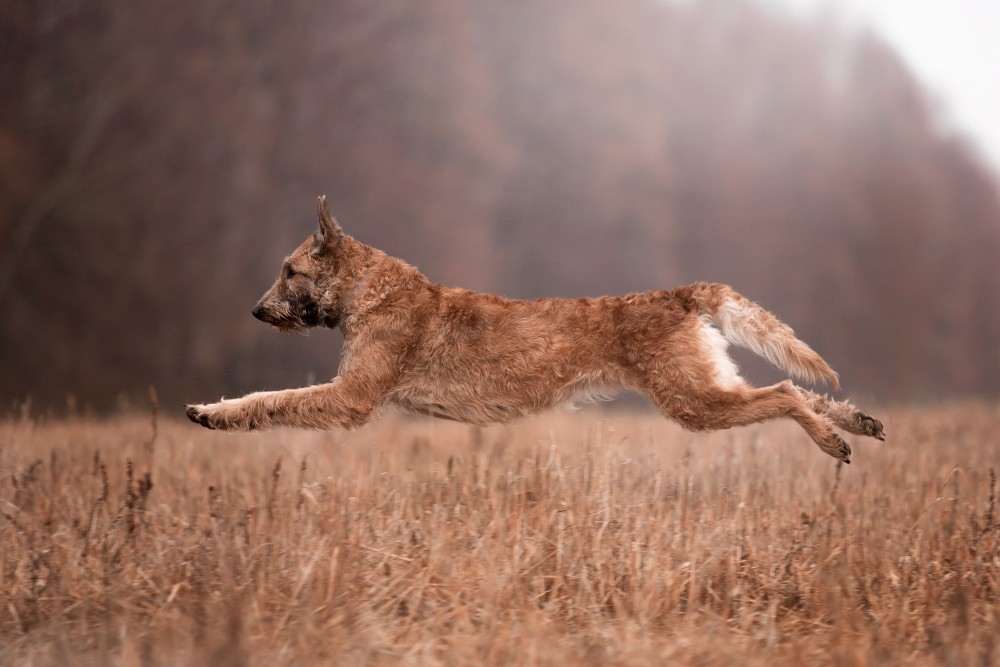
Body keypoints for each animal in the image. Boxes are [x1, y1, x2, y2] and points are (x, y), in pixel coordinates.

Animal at [186, 196, 884, 462]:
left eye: (289, 272)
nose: (254, 311)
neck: (367, 291)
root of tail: (682, 293)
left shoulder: (351, 398)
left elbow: (272, 400)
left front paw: (210, 412)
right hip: (708, 387)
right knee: (804, 392)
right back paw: (858, 422)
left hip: (694, 400)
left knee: (786, 393)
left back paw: (834, 441)